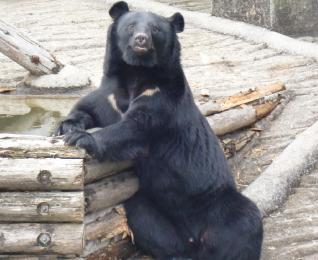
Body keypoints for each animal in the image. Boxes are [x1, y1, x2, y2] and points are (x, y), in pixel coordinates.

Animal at [55, 1, 264, 258]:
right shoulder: (111, 95)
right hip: (150, 206)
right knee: (145, 220)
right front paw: (68, 126)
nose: (141, 39)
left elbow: (137, 127)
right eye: (131, 25)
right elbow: (89, 108)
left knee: (245, 221)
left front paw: (81, 138)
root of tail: (196, 240)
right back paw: (175, 252)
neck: (136, 73)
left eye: (155, 29)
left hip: (216, 200)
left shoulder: (163, 98)